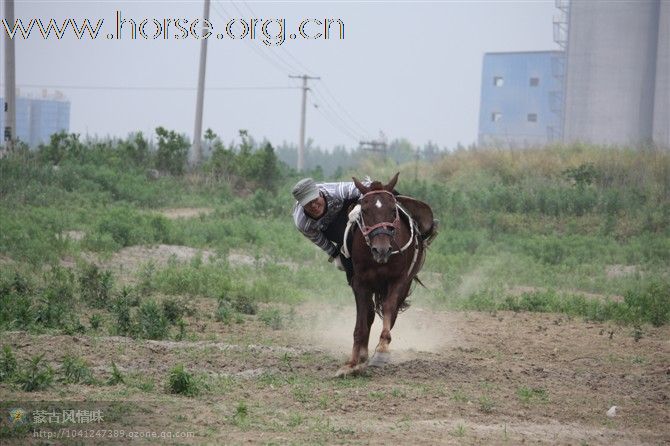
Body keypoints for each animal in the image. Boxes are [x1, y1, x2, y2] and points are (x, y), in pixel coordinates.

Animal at [336, 172, 430, 378]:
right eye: (364, 210)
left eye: (393, 210)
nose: (381, 249)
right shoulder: (360, 283)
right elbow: (362, 321)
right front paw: (352, 363)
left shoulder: (399, 280)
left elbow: (388, 309)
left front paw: (381, 351)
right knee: (369, 314)